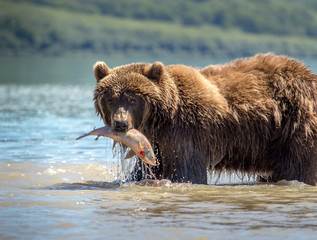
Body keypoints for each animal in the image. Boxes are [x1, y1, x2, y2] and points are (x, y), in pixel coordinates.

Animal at [92, 54, 316, 185]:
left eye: (132, 99)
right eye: (110, 99)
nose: (120, 124)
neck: (160, 119)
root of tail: (309, 76)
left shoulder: (185, 131)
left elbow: (186, 172)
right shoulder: (155, 143)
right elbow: (146, 170)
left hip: (294, 124)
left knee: (297, 167)